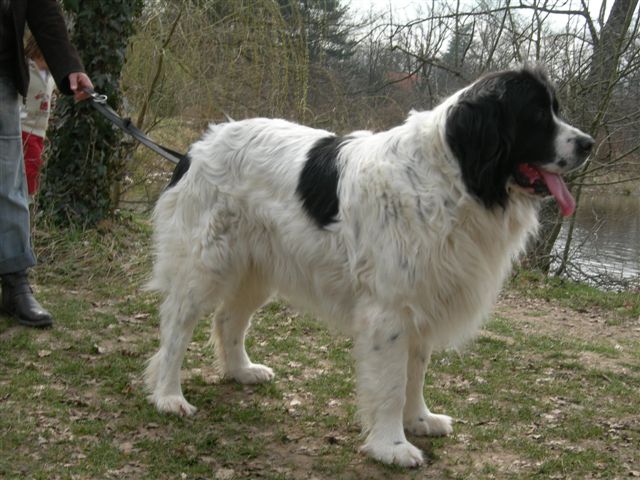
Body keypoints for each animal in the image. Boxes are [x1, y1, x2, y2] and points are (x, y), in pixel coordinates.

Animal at [144, 66, 593, 467]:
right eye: (536, 116)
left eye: (555, 110)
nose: (588, 143)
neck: (452, 180)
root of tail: (196, 147)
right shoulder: (389, 312)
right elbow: (392, 383)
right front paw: (391, 446)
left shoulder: (422, 300)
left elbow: (416, 372)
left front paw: (419, 419)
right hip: (204, 265)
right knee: (177, 328)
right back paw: (169, 396)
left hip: (258, 267)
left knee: (228, 319)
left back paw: (241, 371)